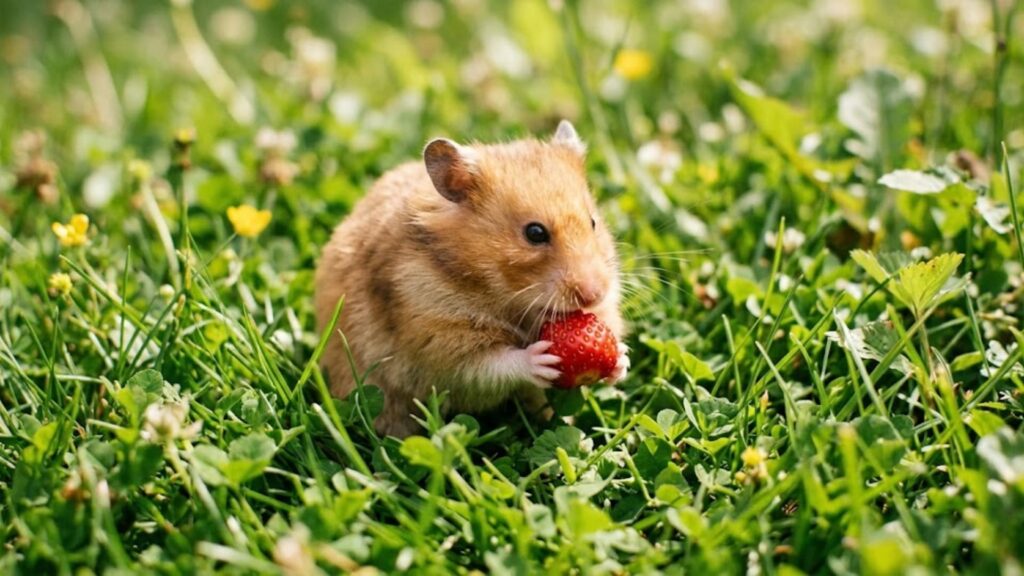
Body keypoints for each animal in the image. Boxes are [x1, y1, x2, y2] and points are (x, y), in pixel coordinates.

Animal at [314, 120, 628, 437]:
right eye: (535, 233)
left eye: (593, 222)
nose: (594, 294)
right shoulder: (438, 342)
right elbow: (492, 364)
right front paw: (542, 359)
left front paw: (621, 360)